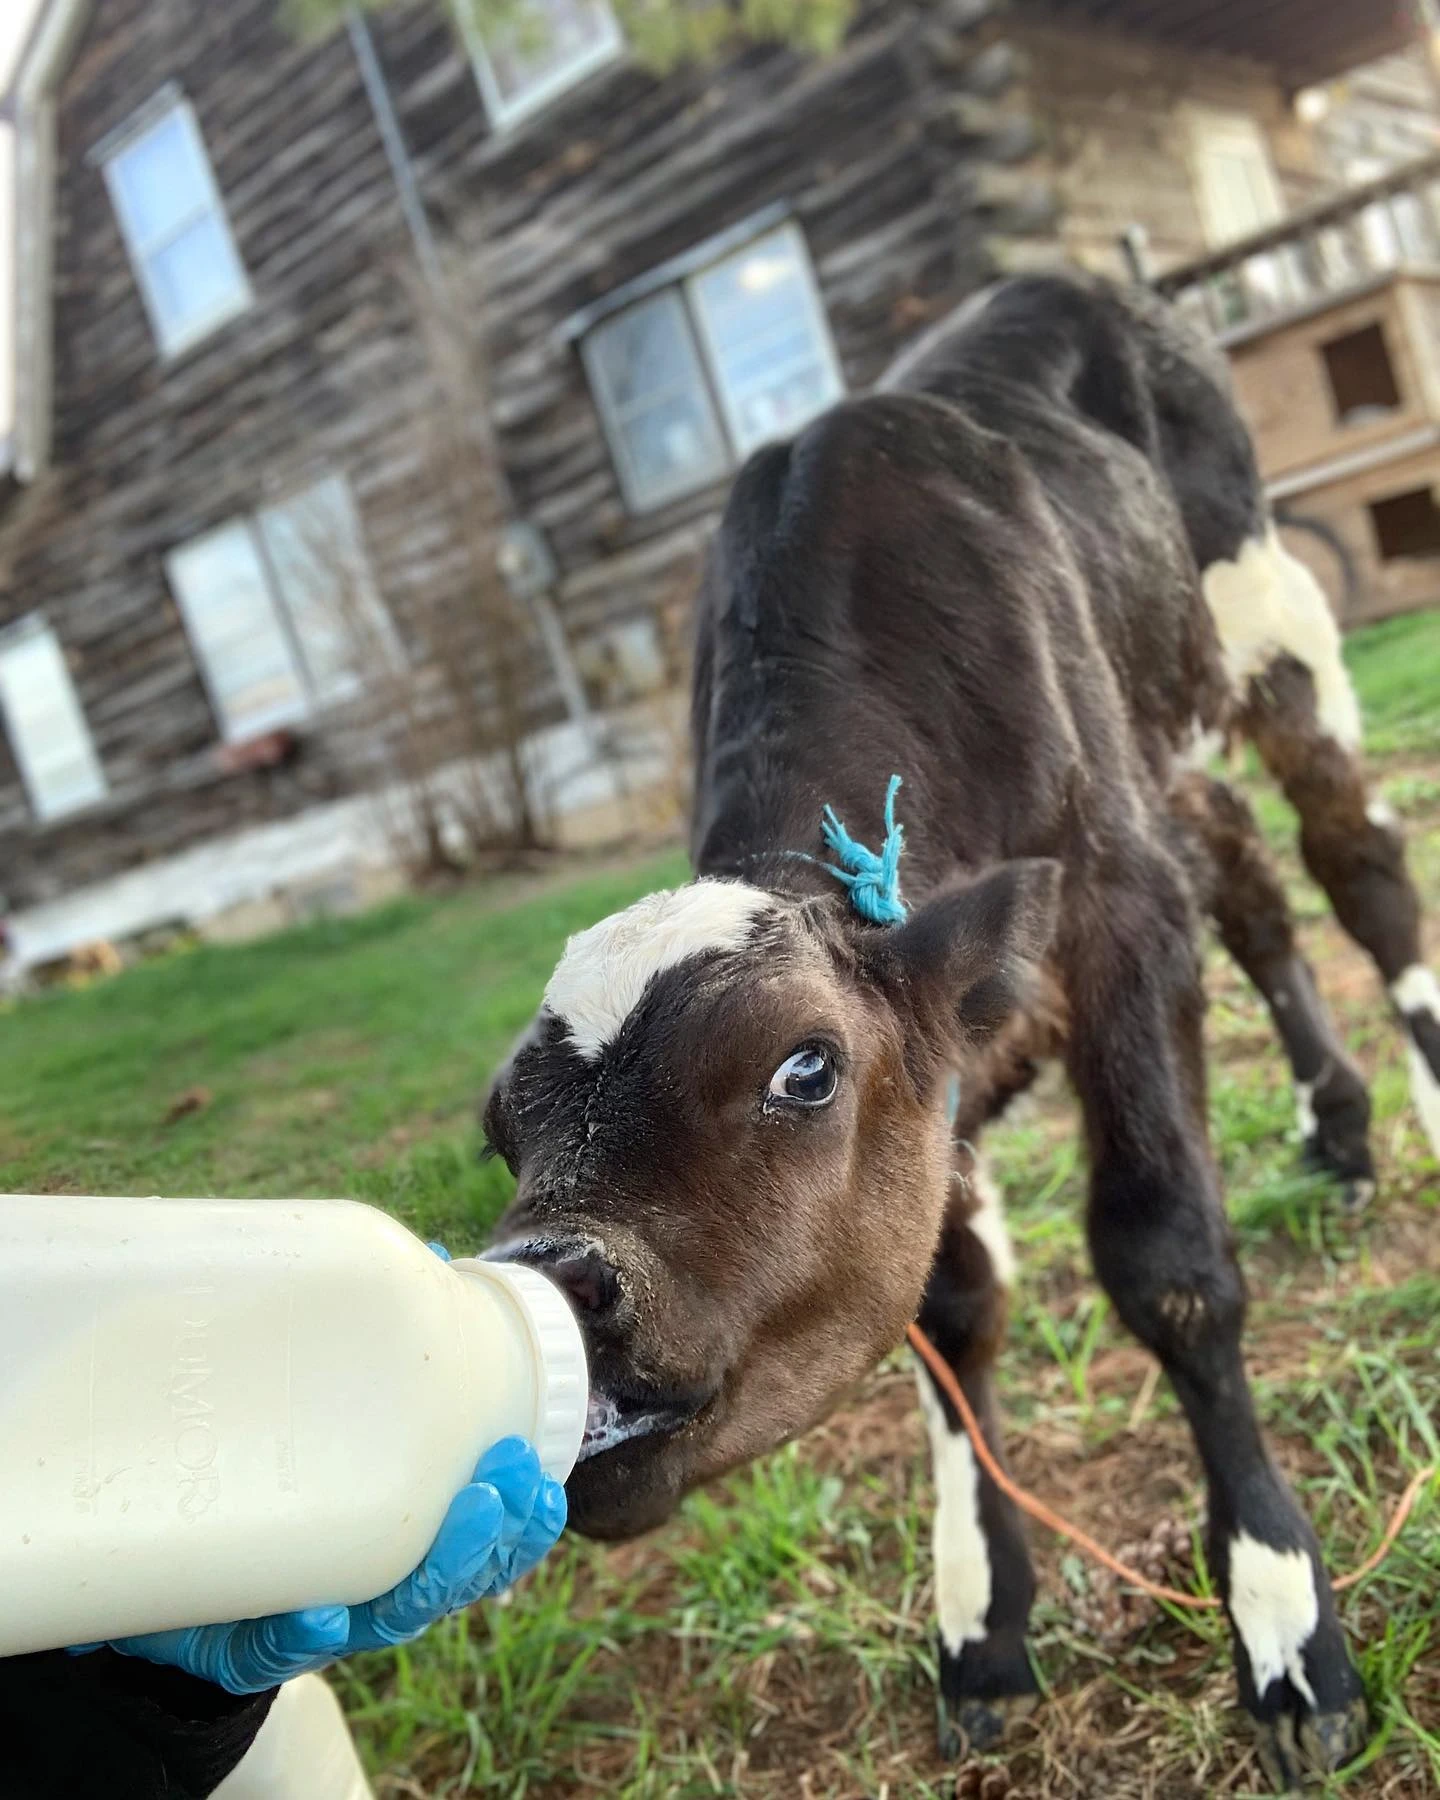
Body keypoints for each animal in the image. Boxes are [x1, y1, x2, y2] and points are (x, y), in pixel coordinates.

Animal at [482, 275, 1440, 1789]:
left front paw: (1283, 1620)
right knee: (1240, 868)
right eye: (498, 1128)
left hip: (1267, 617)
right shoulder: (943, 1087)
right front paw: (981, 1620)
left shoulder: (1116, 913)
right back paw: (1334, 1128)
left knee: (1355, 859)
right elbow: (953, 1308)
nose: (543, 1280)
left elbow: (1170, 1262)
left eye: (802, 1066)